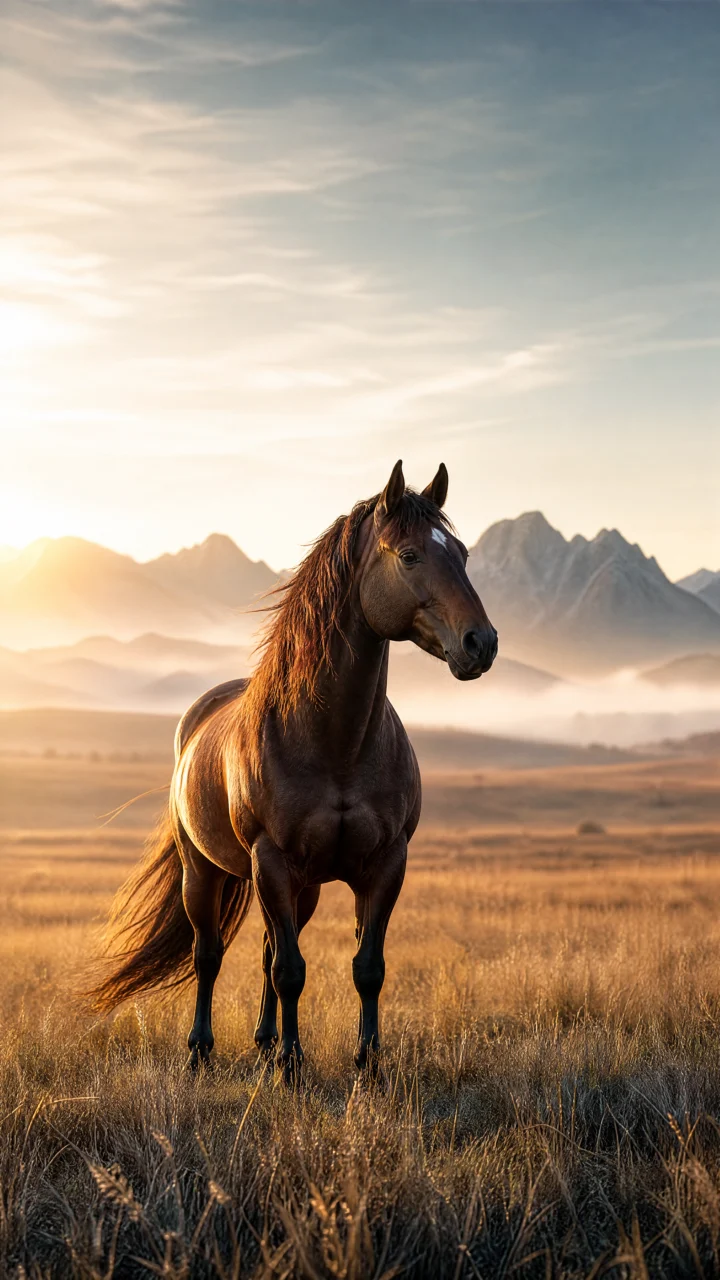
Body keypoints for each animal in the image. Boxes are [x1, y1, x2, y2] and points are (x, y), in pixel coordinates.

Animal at [89, 461, 498, 1083]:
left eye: (464, 555)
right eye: (408, 555)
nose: (482, 643)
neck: (335, 746)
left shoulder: (386, 864)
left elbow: (366, 967)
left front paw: (367, 1063)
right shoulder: (272, 861)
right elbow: (290, 972)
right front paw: (293, 1066)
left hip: (303, 889)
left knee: (265, 952)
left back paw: (262, 1041)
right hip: (204, 872)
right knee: (210, 955)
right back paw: (203, 1050)